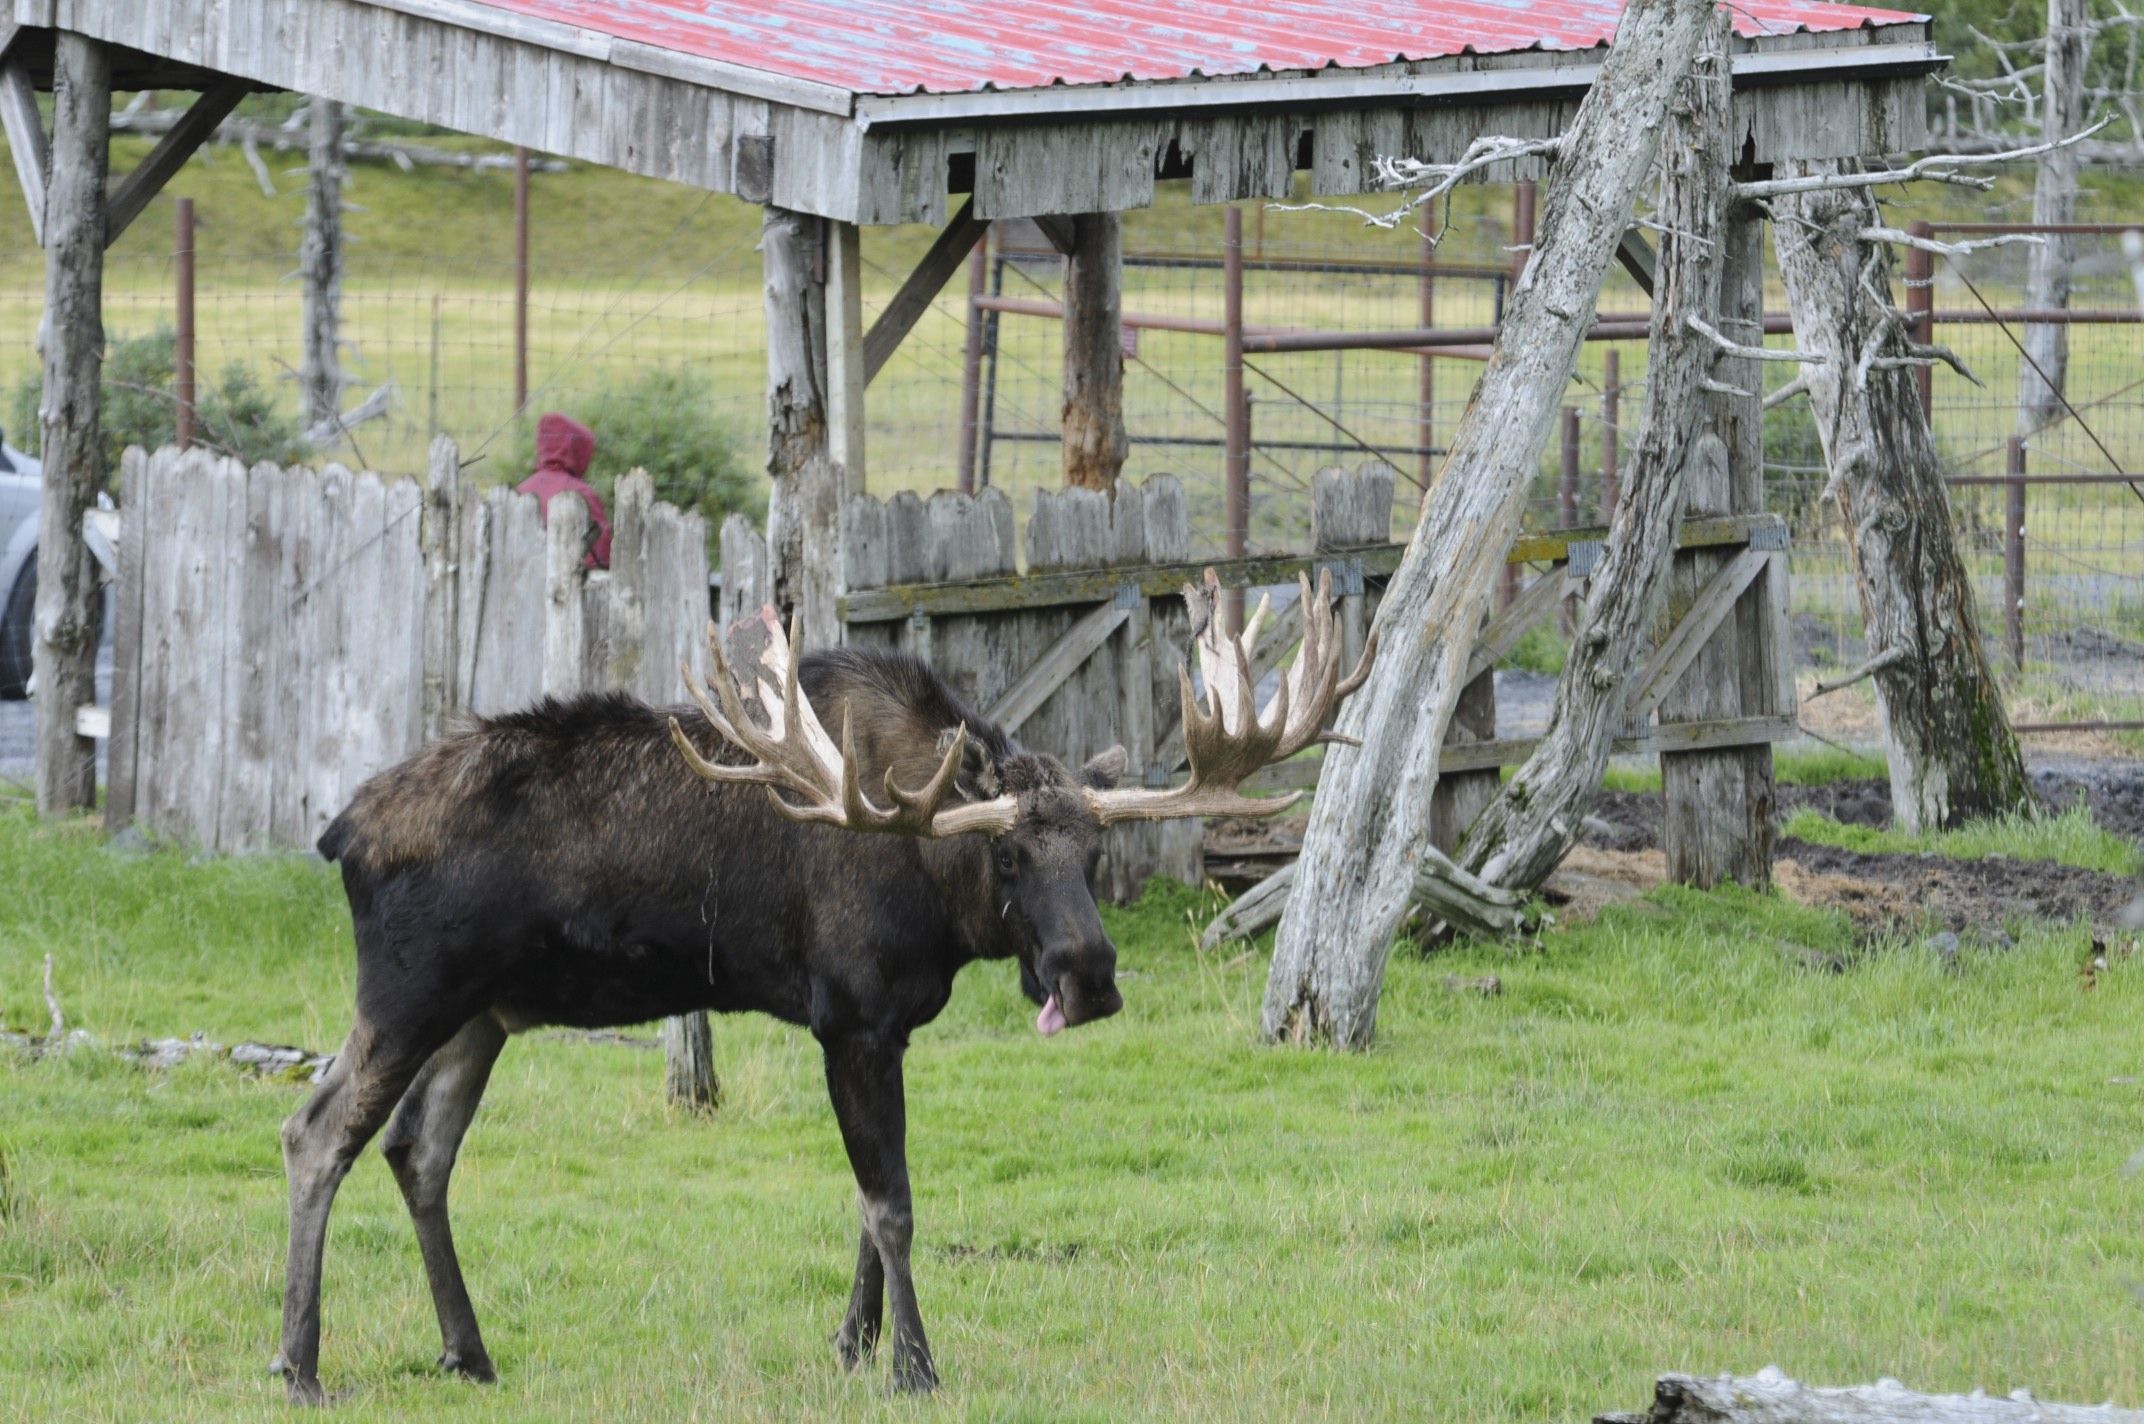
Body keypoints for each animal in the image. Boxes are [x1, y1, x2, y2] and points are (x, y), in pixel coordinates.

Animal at [272, 566, 1372, 1398]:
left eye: (1094, 849)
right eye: (1007, 855)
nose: (1088, 975)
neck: (932, 882)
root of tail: (340, 833)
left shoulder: (886, 1027)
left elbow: (865, 1201)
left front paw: (852, 1343)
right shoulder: (849, 1017)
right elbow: (893, 1204)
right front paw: (914, 1365)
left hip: (483, 1013)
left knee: (418, 1150)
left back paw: (467, 1350)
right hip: (408, 995)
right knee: (315, 1131)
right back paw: (299, 1362)